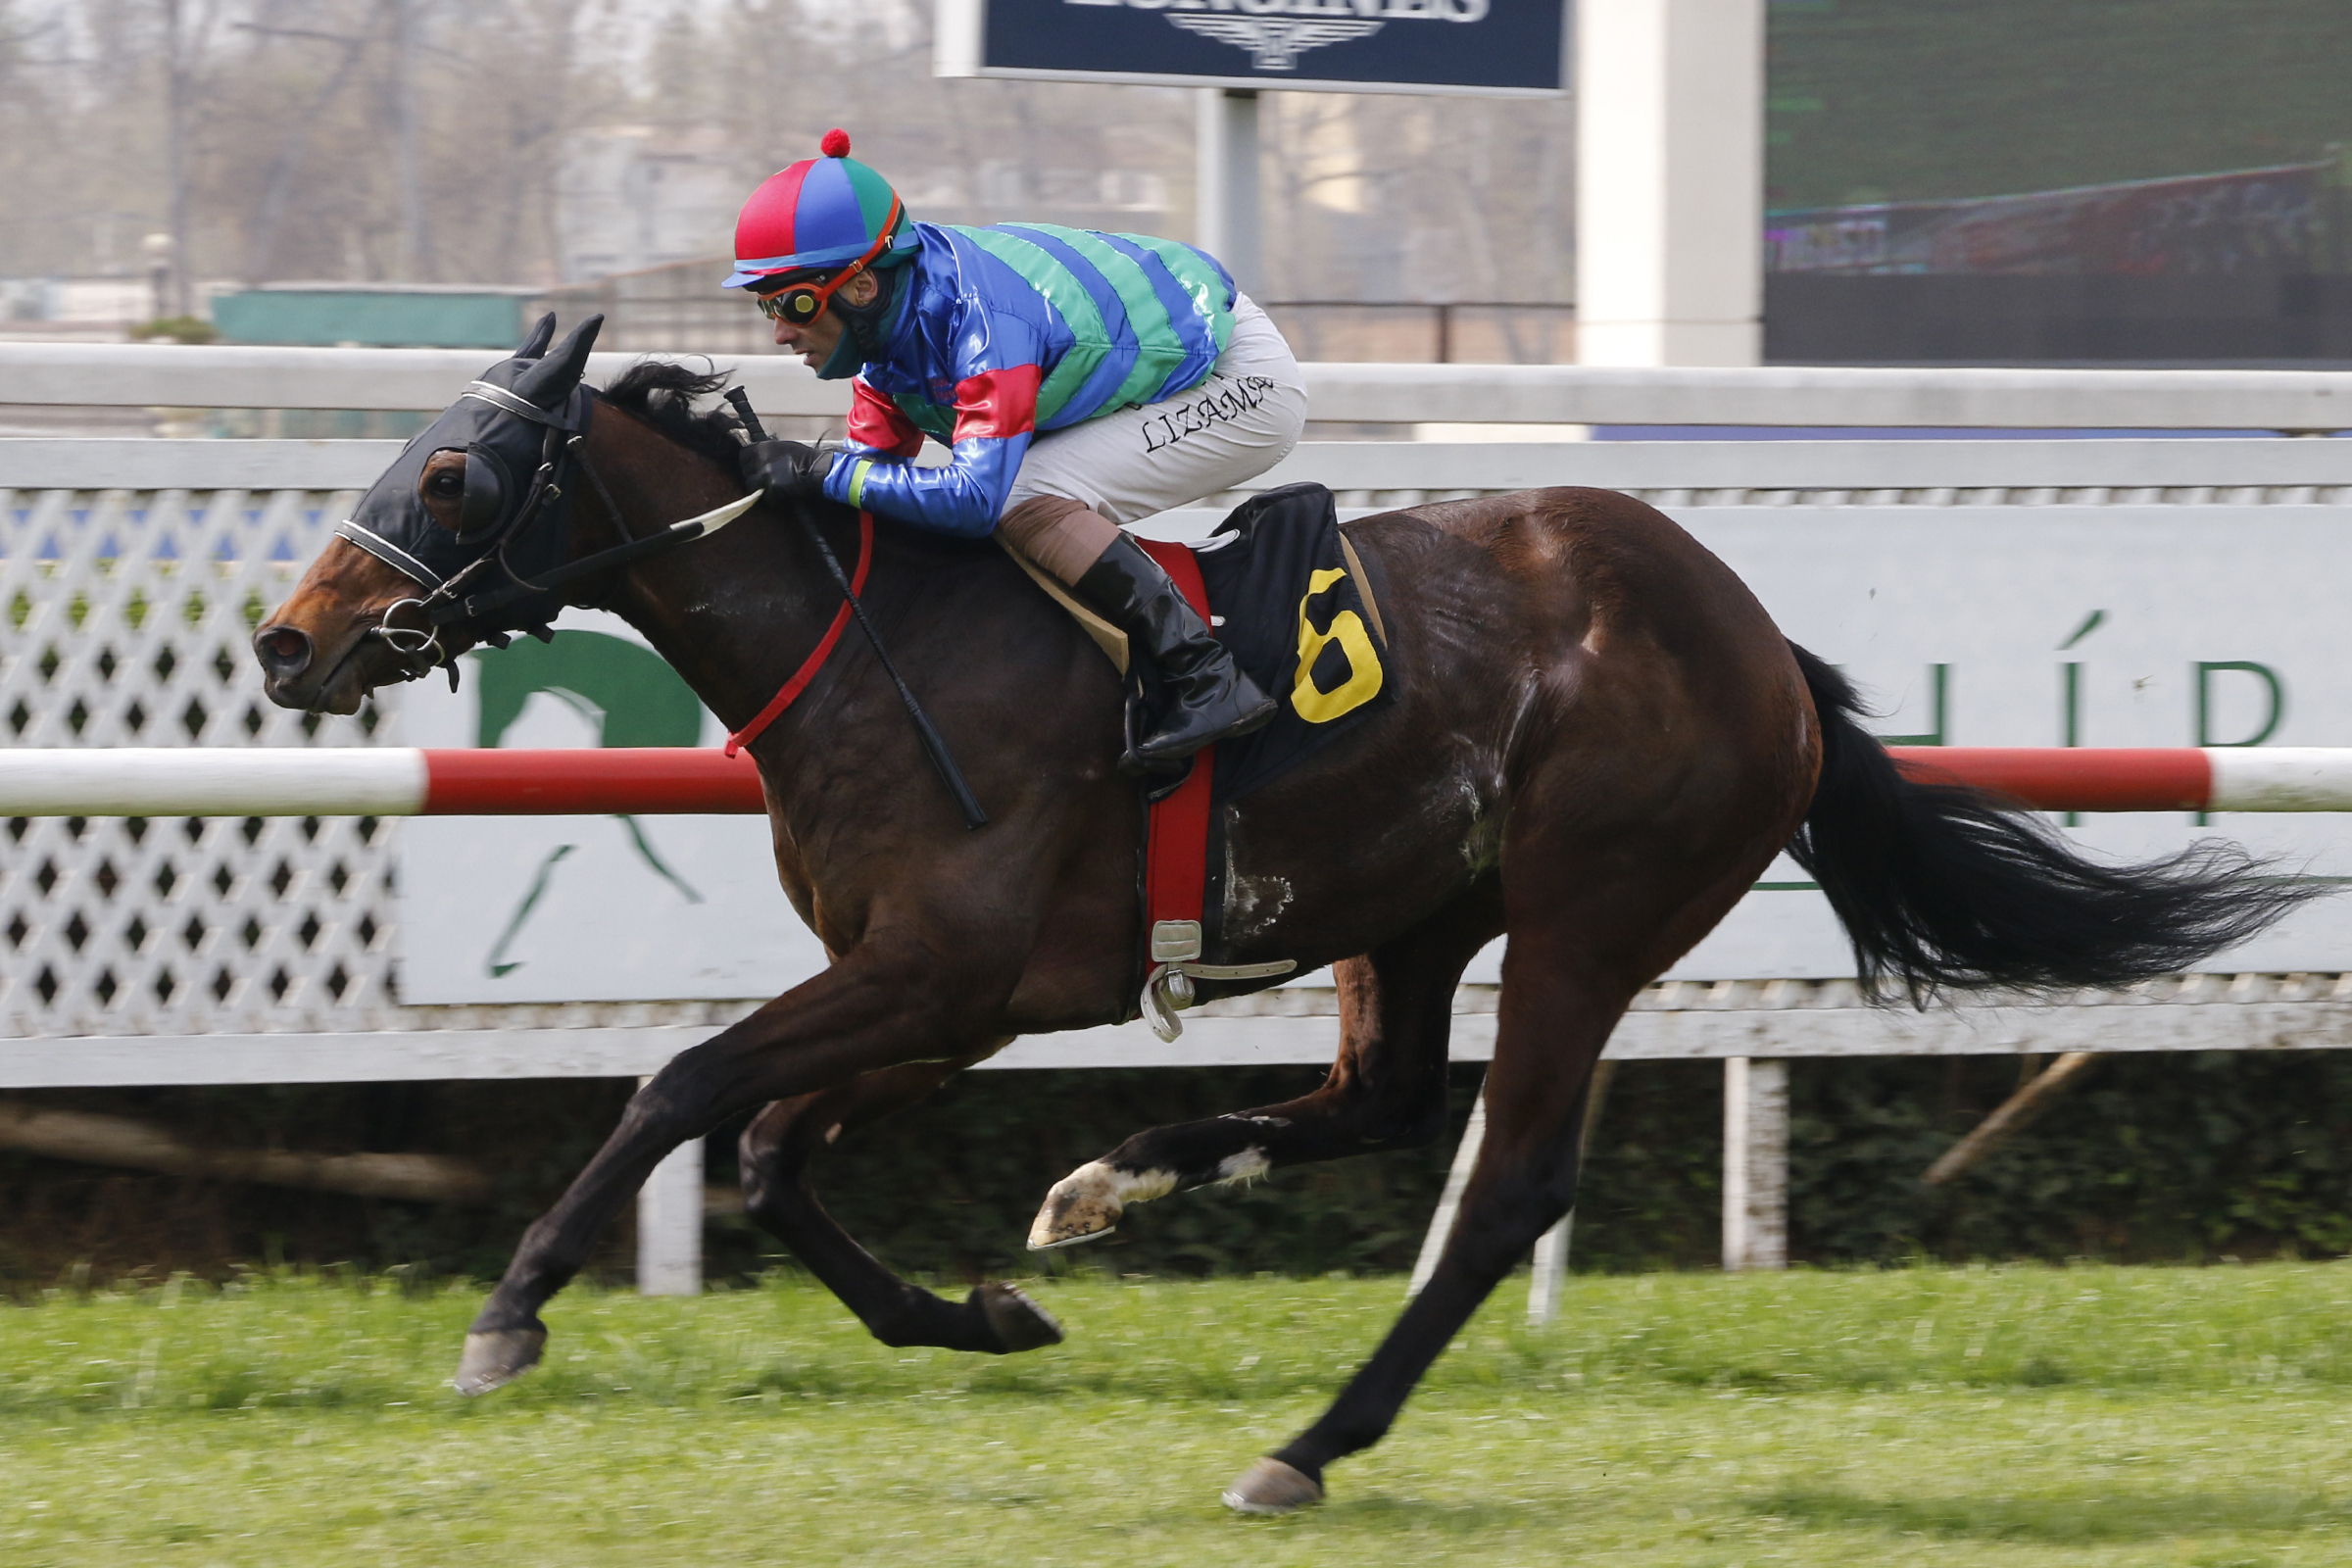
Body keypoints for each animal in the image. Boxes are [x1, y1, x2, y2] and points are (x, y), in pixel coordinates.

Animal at [253, 315, 2312, 1513]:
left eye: (452, 469)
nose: (287, 643)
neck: (875, 633)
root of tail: (1764, 649)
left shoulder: (940, 969)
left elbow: (681, 1086)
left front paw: (507, 1315)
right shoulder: (955, 994)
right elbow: (769, 1146)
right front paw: (979, 1314)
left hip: (1590, 910)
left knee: (1502, 1181)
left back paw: (1307, 1445)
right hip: (1414, 911)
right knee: (1388, 1100)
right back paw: (1123, 1178)